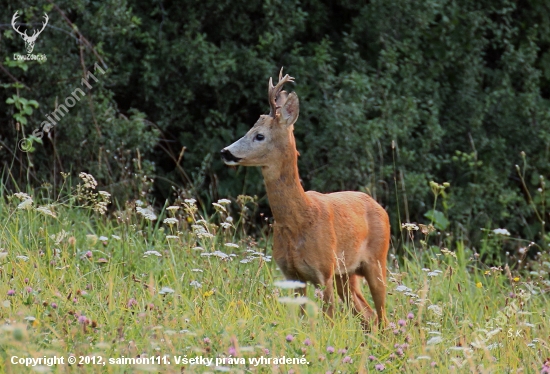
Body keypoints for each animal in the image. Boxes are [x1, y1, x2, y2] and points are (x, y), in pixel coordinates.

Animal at [221, 68, 392, 328]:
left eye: (259, 135)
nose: (226, 152)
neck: (299, 219)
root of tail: (380, 208)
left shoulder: (324, 270)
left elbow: (329, 318)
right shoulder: (292, 275)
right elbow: (302, 320)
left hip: (377, 260)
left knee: (383, 316)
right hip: (347, 273)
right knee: (367, 314)